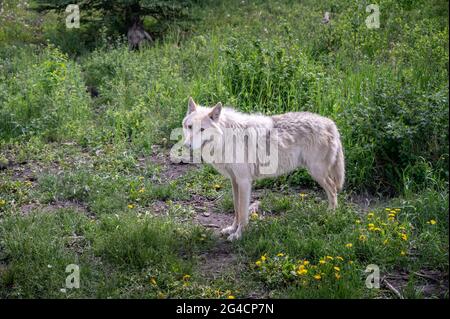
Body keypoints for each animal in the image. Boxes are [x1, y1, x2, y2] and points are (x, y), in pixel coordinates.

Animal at [181, 96, 346, 241]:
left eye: (202, 129)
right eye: (189, 127)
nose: (187, 146)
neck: (226, 139)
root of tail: (330, 122)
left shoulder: (244, 182)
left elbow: (243, 212)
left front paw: (238, 235)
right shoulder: (235, 181)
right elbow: (236, 209)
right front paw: (232, 229)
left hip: (317, 173)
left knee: (333, 189)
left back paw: (330, 214)